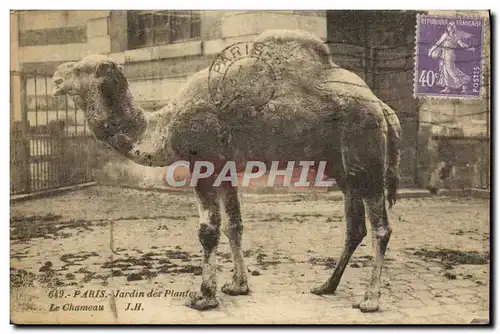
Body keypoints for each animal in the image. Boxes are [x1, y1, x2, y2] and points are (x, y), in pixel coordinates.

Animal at [50, 29, 402, 314]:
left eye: (80, 69)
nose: (55, 76)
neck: (161, 127)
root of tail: (382, 106)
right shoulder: (226, 168)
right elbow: (235, 225)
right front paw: (237, 286)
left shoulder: (203, 163)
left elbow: (208, 230)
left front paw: (204, 296)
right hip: (343, 167)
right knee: (355, 227)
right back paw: (326, 286)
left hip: (365, 153)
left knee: (380, 228)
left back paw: (370, 300)